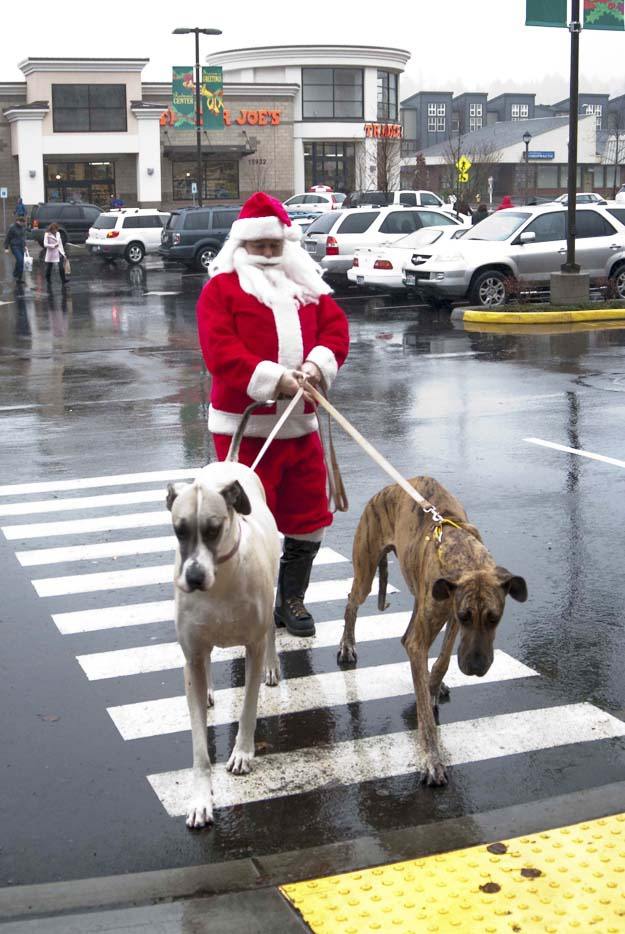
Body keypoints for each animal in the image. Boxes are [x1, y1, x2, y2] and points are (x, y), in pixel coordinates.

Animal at [168, 416, 280, 828]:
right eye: (179, 529)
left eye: (214, 529)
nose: (194, 577)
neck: (223, 579)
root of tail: (230, 463)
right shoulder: (191, 651)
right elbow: (199, 748)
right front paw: (201, 798)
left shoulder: (252, 645)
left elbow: (248, 706)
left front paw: (243, 753)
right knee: (203, 666)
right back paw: (209, 689)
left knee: (272, 633)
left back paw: (273, 667)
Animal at [336, 476, 528, 788]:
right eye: (466, 616)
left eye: (494, 618)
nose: (476, 669)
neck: (462, 552)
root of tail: (385, 490)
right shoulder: (443, 617)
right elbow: (425, 715)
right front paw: (432, 760)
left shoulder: (448, 614)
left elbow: (444, 658)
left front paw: (433, 684)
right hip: (365, 569)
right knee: (352, 601)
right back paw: (347, 645)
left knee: (407, 637)